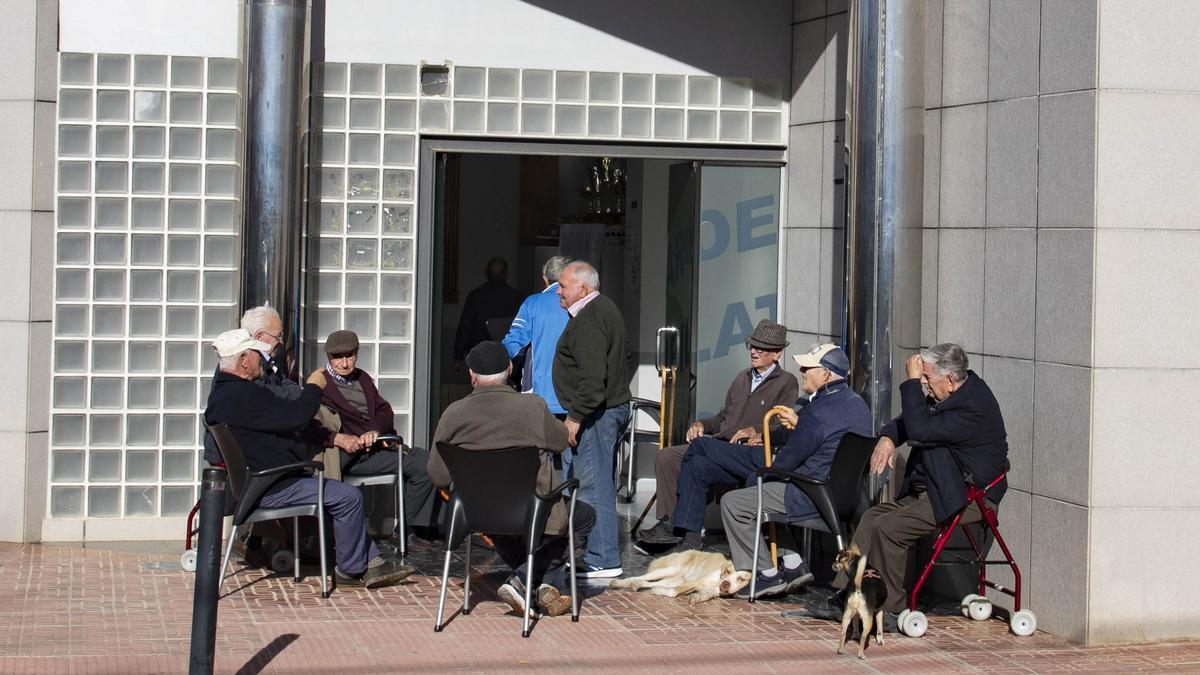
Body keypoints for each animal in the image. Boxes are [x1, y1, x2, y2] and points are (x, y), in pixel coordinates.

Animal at [609, 550, 748, 600]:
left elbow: (705, 596)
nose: (725, 584)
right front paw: (659, 592)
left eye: (741, 578)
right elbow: (674, 592)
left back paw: (636, 585)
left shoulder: (711, 592)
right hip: (670, 570)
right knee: (639, 577)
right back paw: (618, 582)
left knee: (647, 583)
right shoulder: (695, 582)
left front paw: (696, 597)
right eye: (728, 572)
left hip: (674, 579)